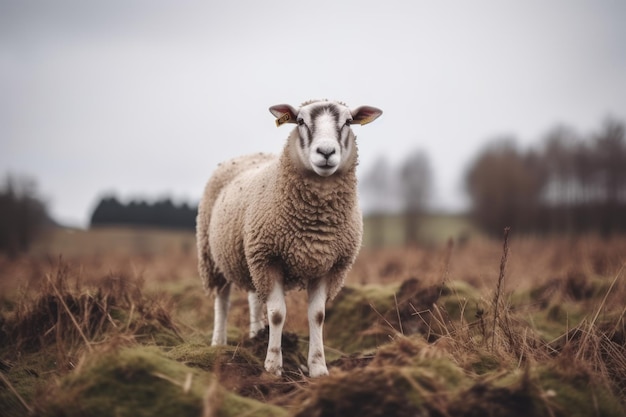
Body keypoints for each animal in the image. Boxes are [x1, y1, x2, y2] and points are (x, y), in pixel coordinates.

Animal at [195, 99, 380, 376]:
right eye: (301, 121)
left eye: (348, 122)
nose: (326, 152)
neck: (314, 225)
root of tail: (249, 154)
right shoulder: (269, 258)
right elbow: (277, 314)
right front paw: (273, 366)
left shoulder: (328, 265)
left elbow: (317, 315)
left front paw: (318, 368)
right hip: (214, 256)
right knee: (222, 300)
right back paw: (219, 342)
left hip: (251, 256)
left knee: (253, 297)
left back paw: (256, 337)